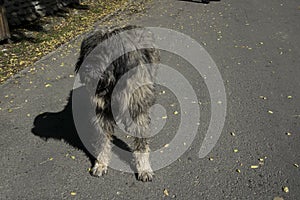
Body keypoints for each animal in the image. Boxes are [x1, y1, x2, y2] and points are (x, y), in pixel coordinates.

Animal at [74, 25, 159, 181]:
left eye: (104, 52)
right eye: (87, 50)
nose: (86, 68)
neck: (114, 83)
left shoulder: (137, 111)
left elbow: (141, 143)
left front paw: (144, 168)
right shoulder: (101, 113)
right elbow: (102, 140)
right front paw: (101, 164)